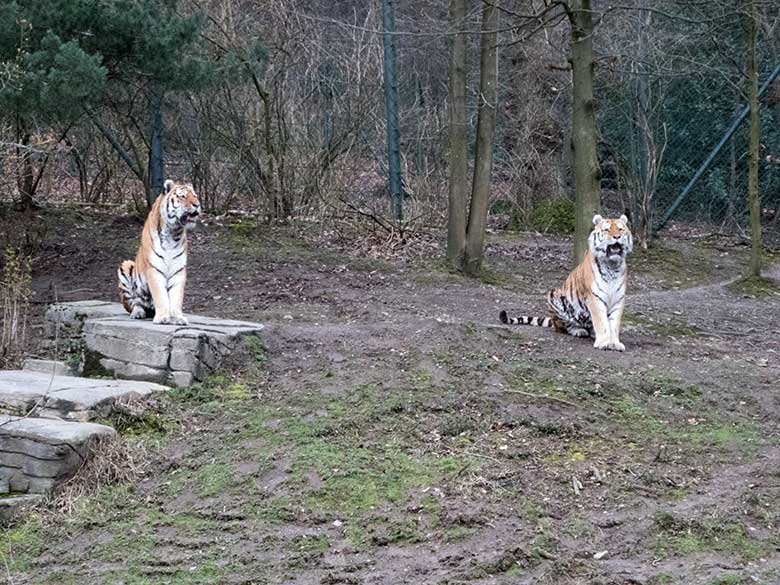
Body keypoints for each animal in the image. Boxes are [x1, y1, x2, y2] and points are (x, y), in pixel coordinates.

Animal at [117, 179, 201, 324]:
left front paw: (177, 317)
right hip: (126, 266)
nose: (197, 205)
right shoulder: (154, 269)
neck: (174, 232)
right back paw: (138, 313)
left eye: (195, 196)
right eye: (182, 196)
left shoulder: (178, 270)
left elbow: (176, 297)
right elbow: (160, 296)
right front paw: (162, 317)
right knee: (134, 303)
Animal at [500, 214, 632, 352]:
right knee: (564, 327)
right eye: (606, 229)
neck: (612, 266)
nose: (617, 237)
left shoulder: (618, 299)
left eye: (621, 229)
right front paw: (604, 343)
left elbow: (614, 324)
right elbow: (601, 322)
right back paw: (578, 330)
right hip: (554, 296)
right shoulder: (594, 298)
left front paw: (615, 343)